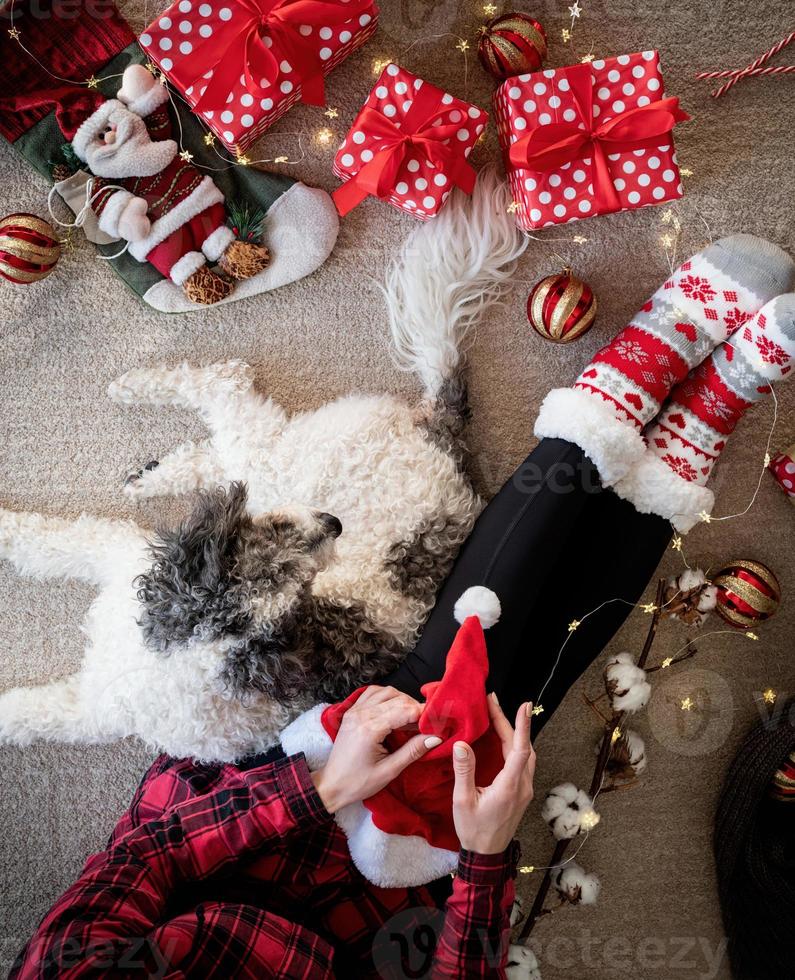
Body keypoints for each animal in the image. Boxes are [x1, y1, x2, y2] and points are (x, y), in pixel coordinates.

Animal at [0, 172, 528, 760]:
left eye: (302, 590)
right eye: (273, 539)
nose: (333, 524)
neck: (184, 647)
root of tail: (445, 439)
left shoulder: (90, 707)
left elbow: (23, 714)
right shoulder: (119, 557)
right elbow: (46, 538)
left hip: (286, 458)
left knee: (227, 390)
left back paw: (140, 410)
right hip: (281, 466)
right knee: (223, 421)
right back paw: (147, 463)